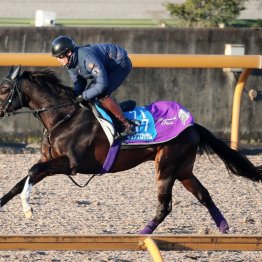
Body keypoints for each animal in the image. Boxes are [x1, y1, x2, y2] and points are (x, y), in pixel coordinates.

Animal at [0, 65, 260, 233]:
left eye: (3, 90)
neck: (64, 117)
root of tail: (192, 123)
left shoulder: (69, 164)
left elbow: (31, 171)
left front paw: (28, 209)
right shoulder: (50, 163)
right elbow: (19, 183)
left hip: (167, 167)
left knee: (165, 205)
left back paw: (143, 233)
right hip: (184, 169)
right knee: (204, 195)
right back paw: (224, 228)